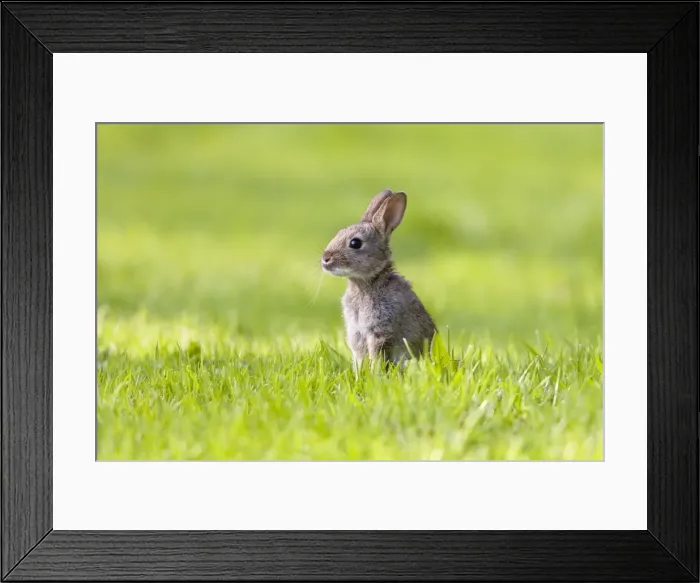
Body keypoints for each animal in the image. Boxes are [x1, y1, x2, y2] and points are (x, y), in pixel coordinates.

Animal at [321, 188, 437, 369]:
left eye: (355, 243)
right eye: (337, 234)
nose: (325, 258)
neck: (367, 283)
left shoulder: (379, 331)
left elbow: (376, 354)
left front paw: (375, 372)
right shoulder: (357, 333)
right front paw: (360, 372)